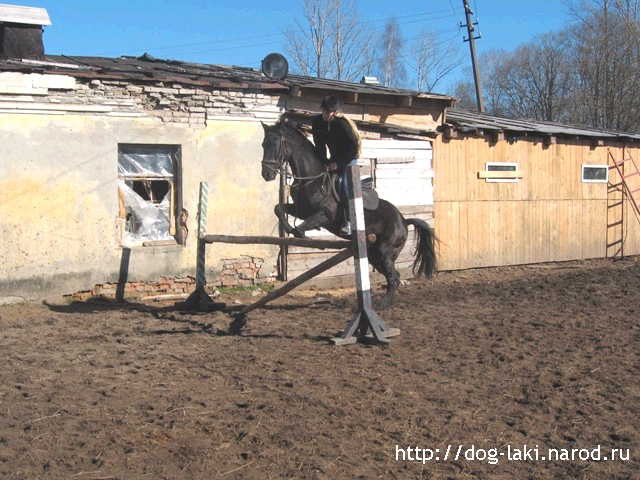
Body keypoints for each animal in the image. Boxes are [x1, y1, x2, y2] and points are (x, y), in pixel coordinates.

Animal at [260, 116, 436, 308]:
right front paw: (291, 230)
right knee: (392, 277)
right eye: (263, 144)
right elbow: (279, 209)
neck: (311, 179)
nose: (266, 174)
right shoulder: (302, 211)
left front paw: (300, 233)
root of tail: (404, 220)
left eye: (275, 144)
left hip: (385, 252)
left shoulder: (325, 215)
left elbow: (303, 224)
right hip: (374, 254)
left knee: (394, 278)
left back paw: (381, 305)